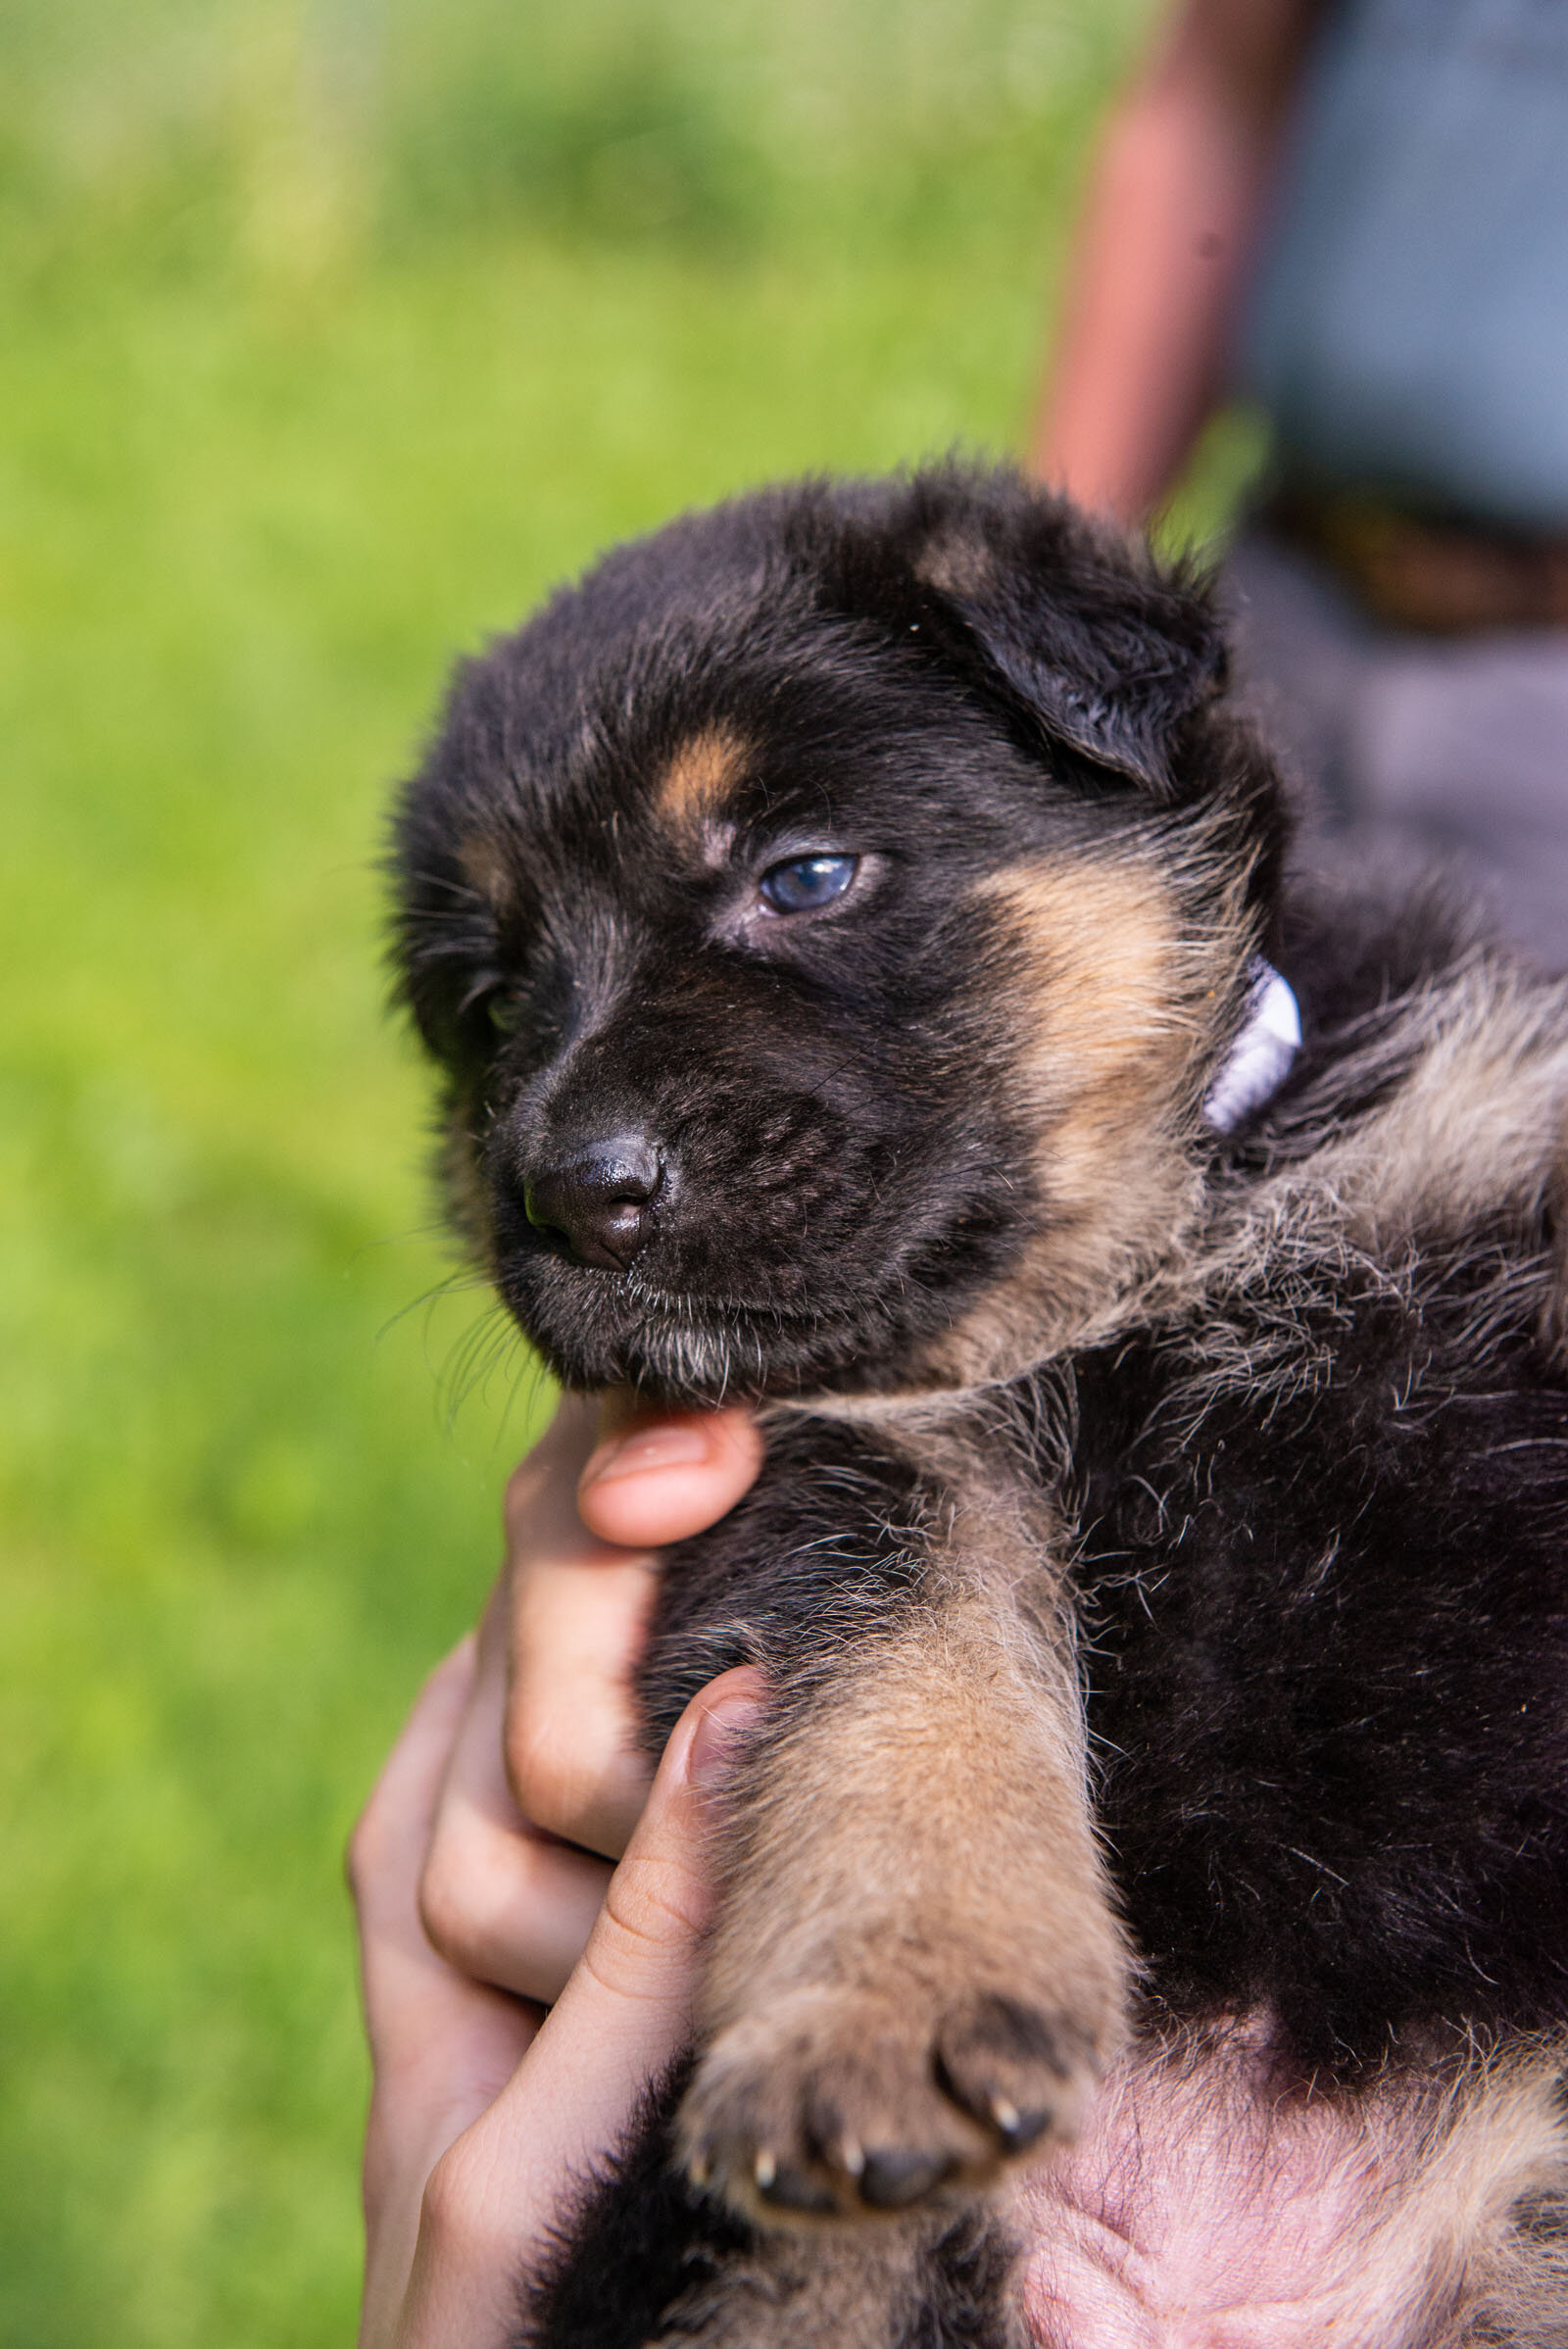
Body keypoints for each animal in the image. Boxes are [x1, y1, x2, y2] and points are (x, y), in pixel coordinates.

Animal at [389, 467, 1568, 2339]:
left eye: (804, 875)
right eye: (491, 1007)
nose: (574, 1191)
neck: (1152, 1248)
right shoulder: (860, 1470)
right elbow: (908, 1697)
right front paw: (895, 2008)